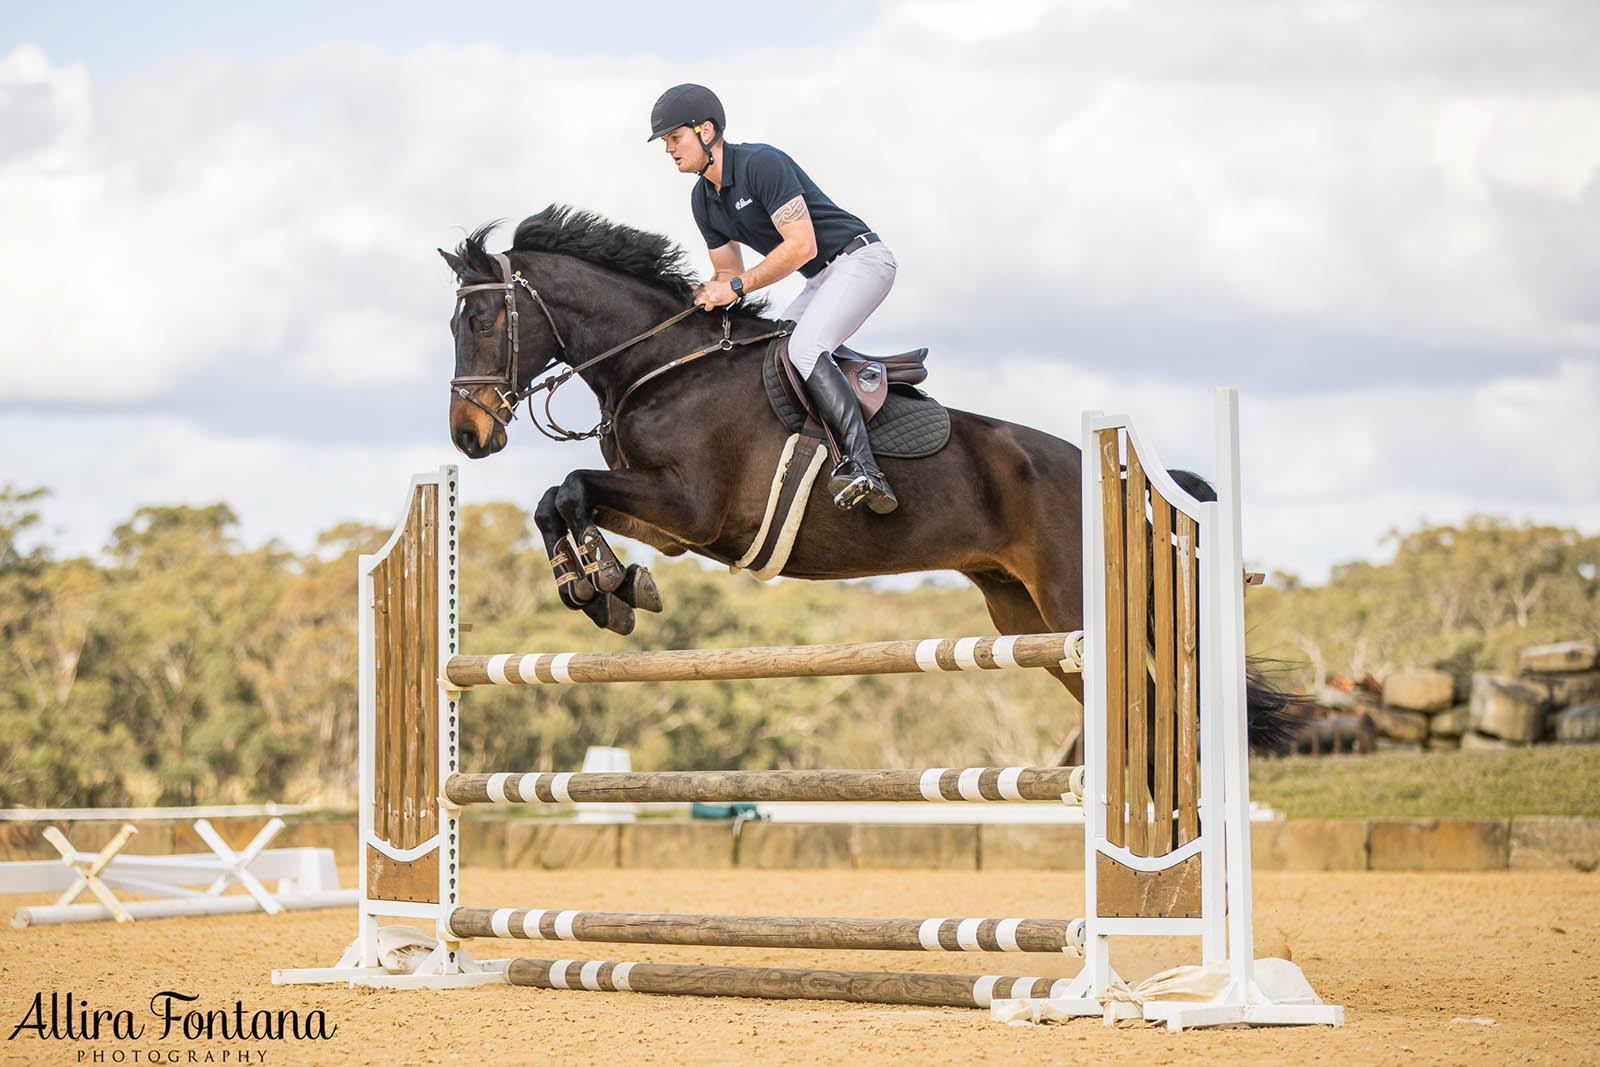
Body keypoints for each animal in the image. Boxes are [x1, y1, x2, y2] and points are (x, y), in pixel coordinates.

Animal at [441, 202, 1299, 751]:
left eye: (482, 320)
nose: (468, 436)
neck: (661, 365)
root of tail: (1121, 480)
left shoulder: (692, 507)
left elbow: (571, 488)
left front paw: (606, 585)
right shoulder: (672, 523)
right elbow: (556, 500)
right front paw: (603, 587)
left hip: (1076, 603)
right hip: (1029, 618)